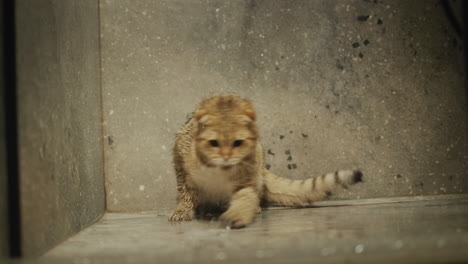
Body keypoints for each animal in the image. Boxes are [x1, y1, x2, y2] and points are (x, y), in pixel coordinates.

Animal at [170, 95, 364, 229]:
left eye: (238, 143)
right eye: (214, 143)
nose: (226, 156)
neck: (218, 171)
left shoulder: (247, 178)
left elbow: (246, 198)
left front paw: (238, 214)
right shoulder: (180, 157)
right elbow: (185, 191)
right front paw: (183, 210)